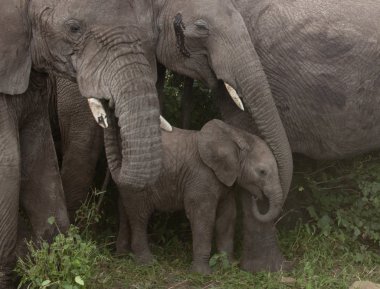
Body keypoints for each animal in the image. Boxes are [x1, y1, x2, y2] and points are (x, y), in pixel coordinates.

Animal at [105, 118, 284, 274]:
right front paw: (202, 273)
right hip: (138, 183)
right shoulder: (201, 175)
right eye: (262, 172)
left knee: (124, 210)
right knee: (140, 215)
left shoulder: (224, 181)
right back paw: (147, 262)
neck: (235, 136)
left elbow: (227, 216)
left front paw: (228, 266)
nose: (256, 197)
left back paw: (122, 255)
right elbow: (203, 216)